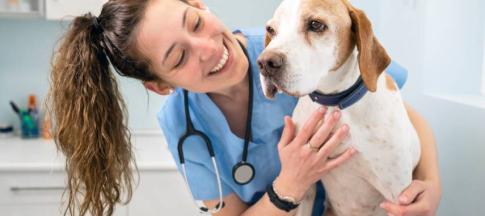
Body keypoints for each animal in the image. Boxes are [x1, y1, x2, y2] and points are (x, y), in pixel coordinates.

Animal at [258, 0, 420, 216]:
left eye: (315, 24)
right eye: (271, 30)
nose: (264, 63)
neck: (334, 104)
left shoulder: (398, 198)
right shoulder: (304, 187)